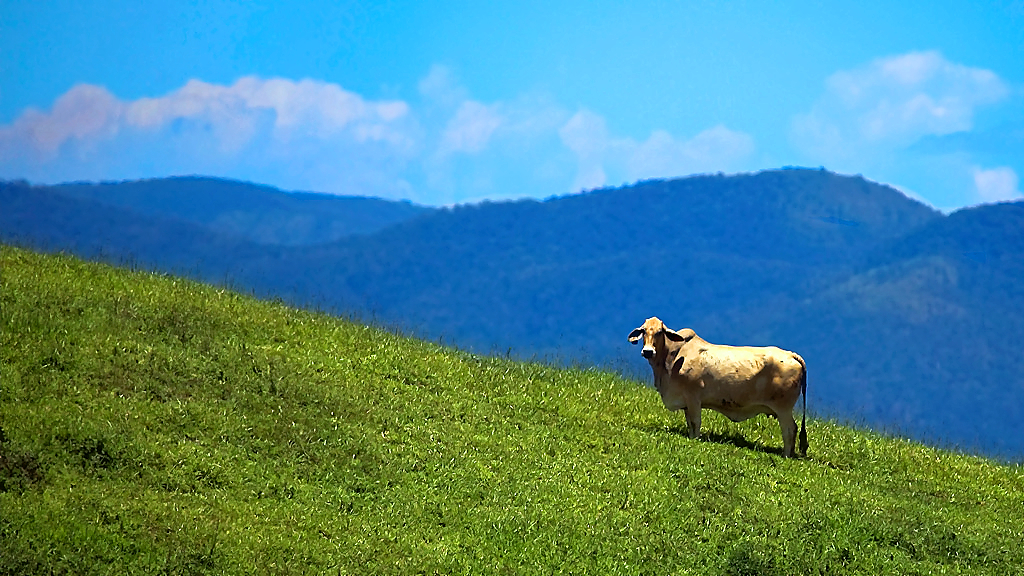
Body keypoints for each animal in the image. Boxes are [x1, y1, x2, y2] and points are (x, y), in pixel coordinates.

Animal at [626, 315, 802, 455]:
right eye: (643, 331)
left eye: (659, 332)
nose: (648, 351)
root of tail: (791, 355)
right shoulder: (686, 402)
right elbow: (690, 423)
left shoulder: (693, 398)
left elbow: (695, 422)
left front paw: (695, 439)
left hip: (783, 409)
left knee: (790, 430)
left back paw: (786, 454)